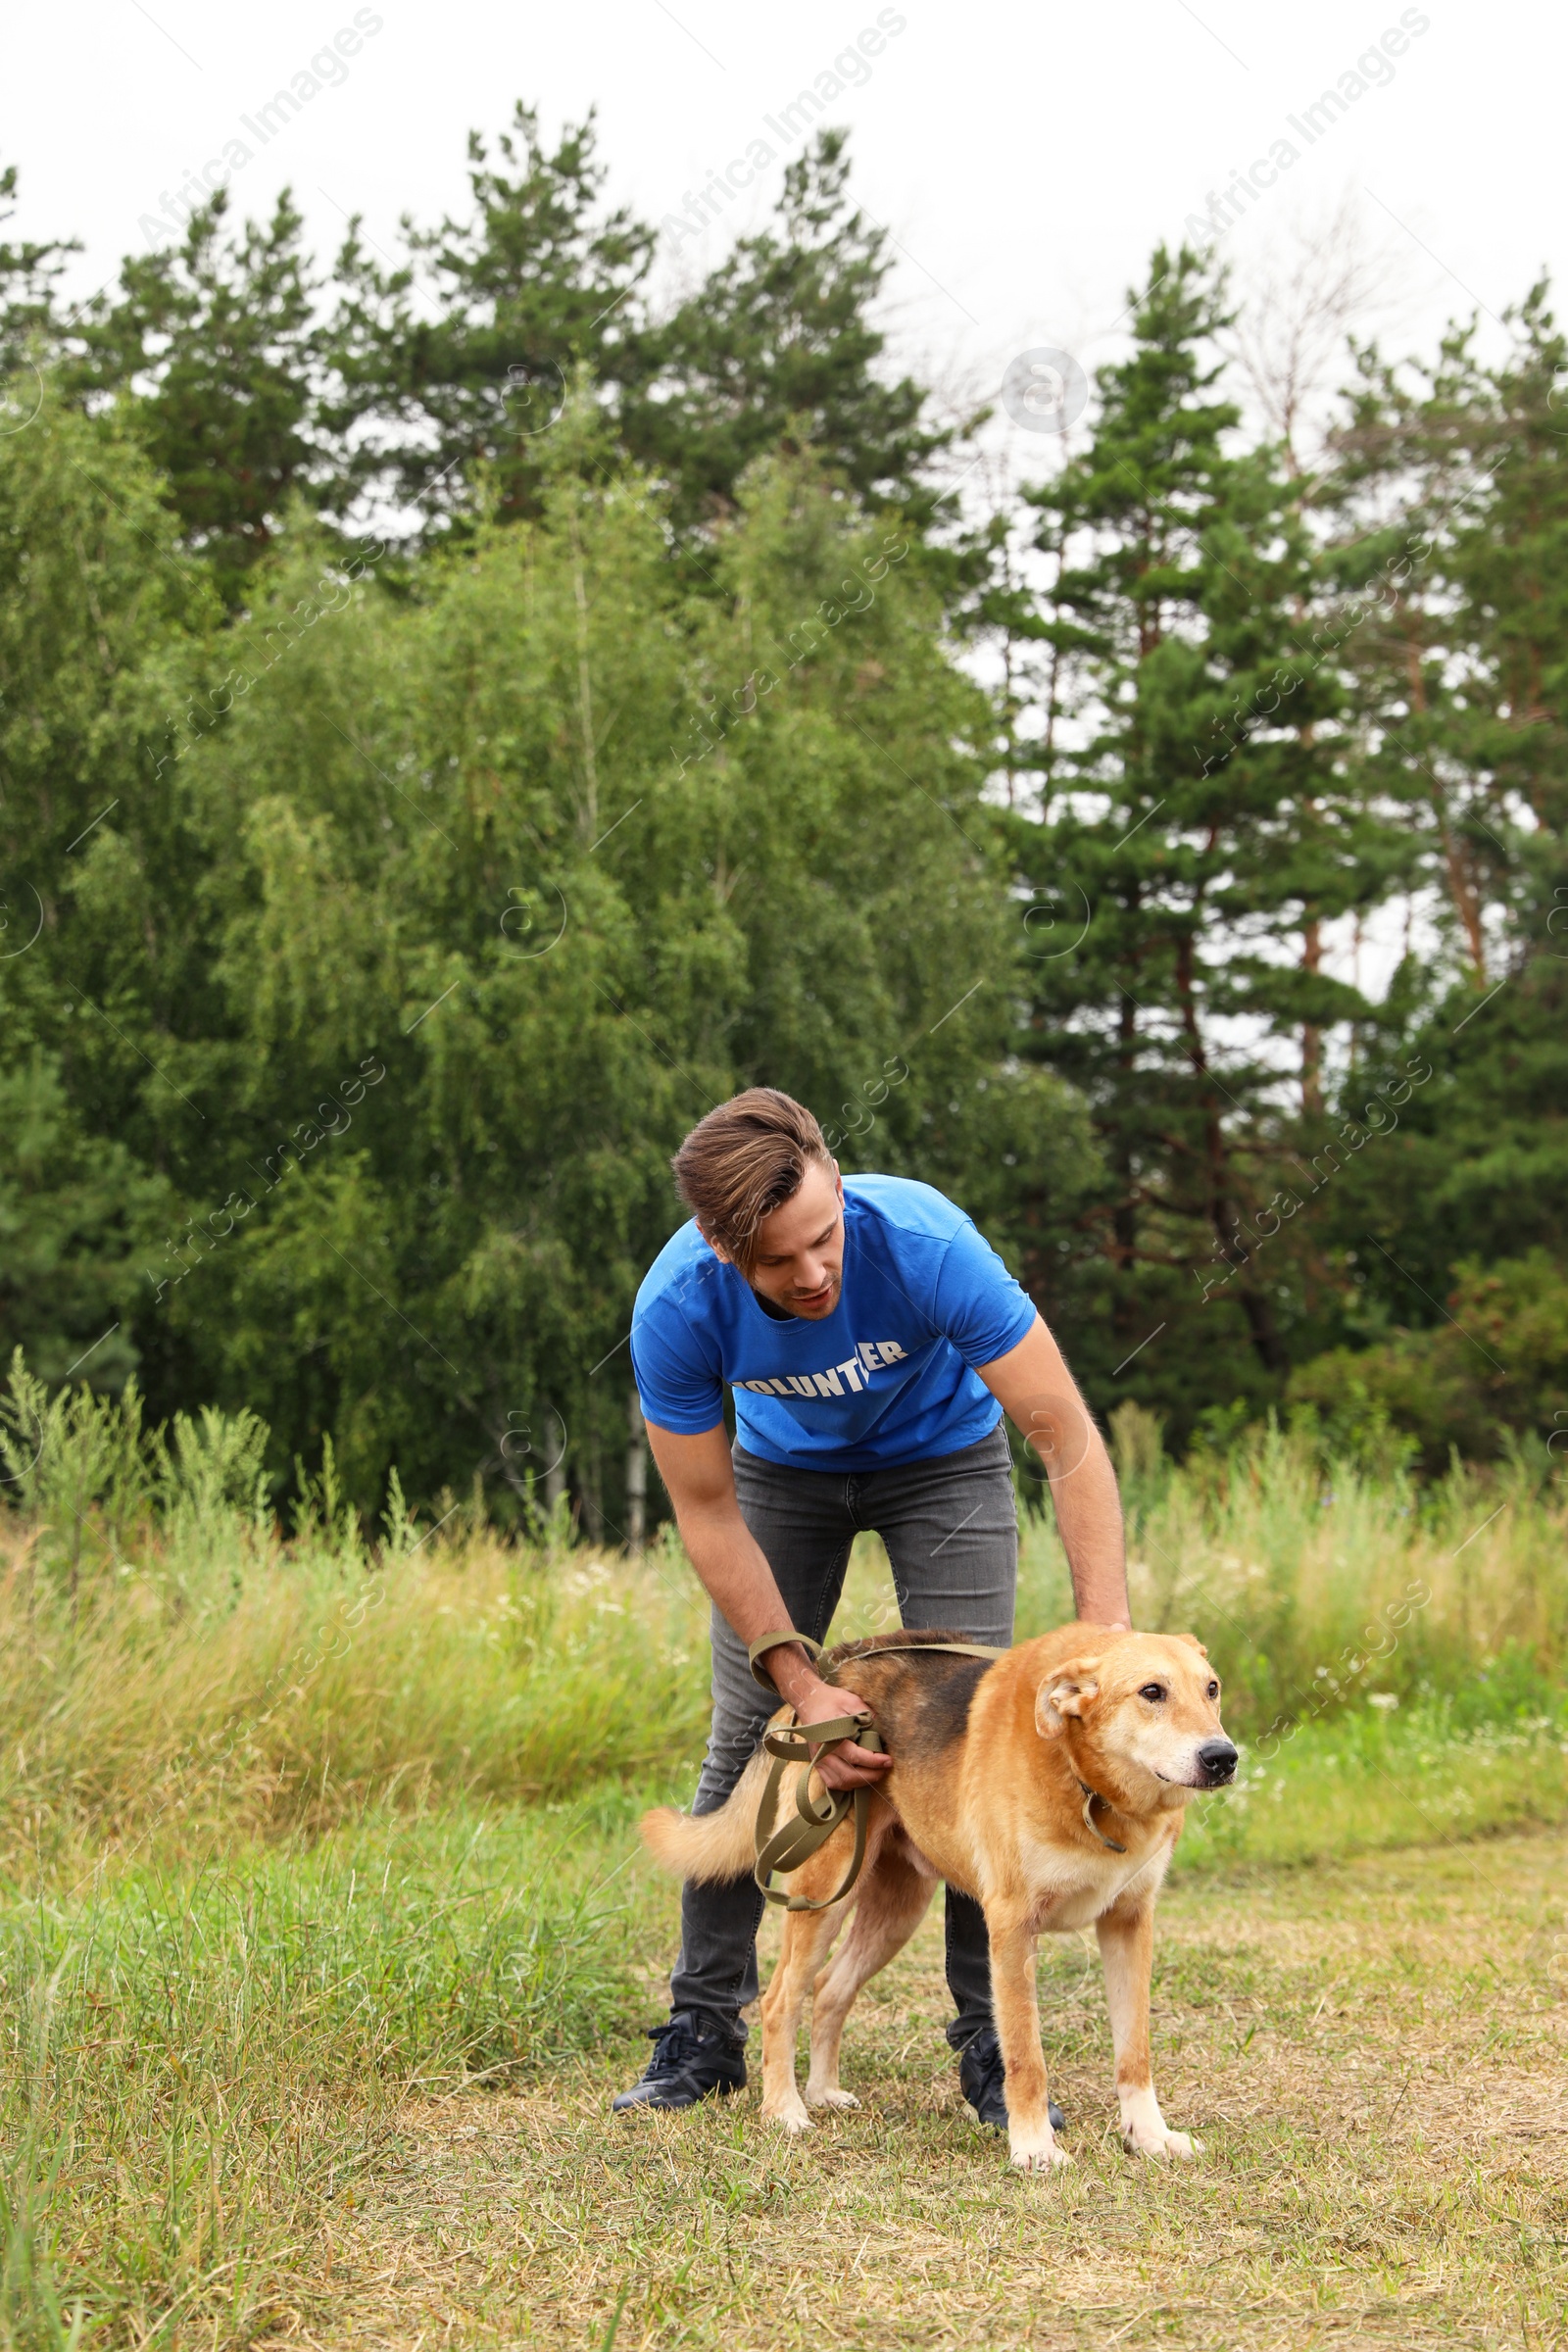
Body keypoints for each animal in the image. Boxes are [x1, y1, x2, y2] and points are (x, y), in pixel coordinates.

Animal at [644, 1627, 1231, 2173]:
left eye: (1212, 1689)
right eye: (1151, 1691)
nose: (1223, 1758)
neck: (1086, 1783)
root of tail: (832, 1670)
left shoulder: (1129, 1923)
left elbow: (1135, 2053)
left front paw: (1150, 2136)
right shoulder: (1012, 1927)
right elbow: (1026, 2056)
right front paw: (1034, 2147)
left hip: (897, 1910)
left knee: (831, 1989)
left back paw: (823, 2092)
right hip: (824, 1895)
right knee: (779, 2000)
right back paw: (784, 2110)